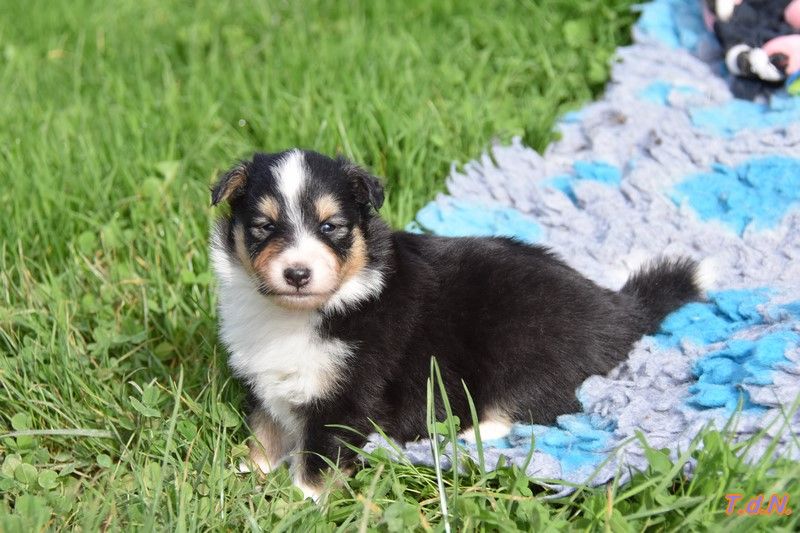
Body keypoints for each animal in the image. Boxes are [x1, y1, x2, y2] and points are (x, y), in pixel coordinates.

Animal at [209, 150, 704, 498]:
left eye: (332, 226)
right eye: (263, 226)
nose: (297, 273)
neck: (298, 314)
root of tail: (613, 306)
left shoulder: (347, 400)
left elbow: (317, 462)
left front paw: (299, 504)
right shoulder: (266, 386)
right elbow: (265, 431)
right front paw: (249, 474)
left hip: (526, 348)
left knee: (539, 407)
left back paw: (467, 435)